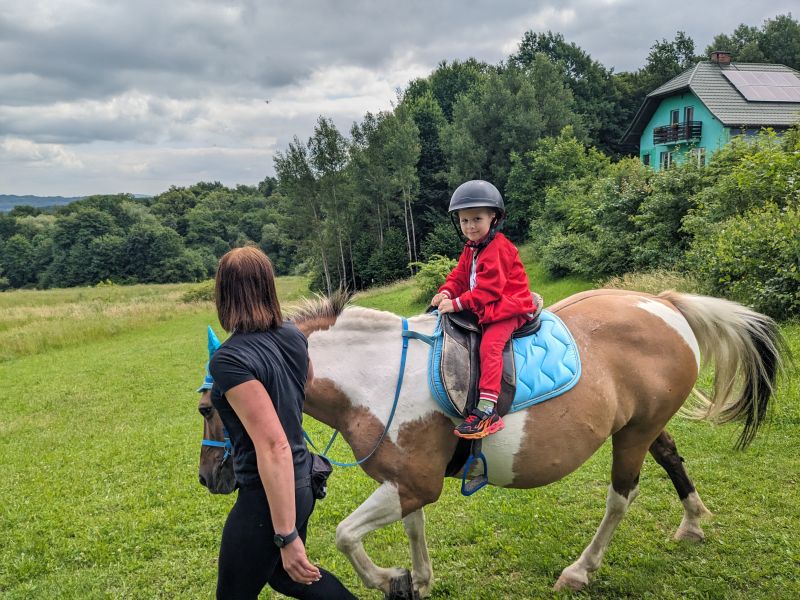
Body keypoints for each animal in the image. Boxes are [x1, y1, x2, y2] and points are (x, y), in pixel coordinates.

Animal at [197, 290, 784, 596]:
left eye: (208, 407)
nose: (209, 477)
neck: (375, 376)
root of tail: (661, 302)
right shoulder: (404, 483)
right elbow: (412, 531)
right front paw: (419, 579)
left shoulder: (417, 483)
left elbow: (344, 536)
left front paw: (390, 579)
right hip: (642, 424)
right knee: (670, 457)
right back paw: (693, 521)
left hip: (631, 438)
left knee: (622, 497)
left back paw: (580, 569)